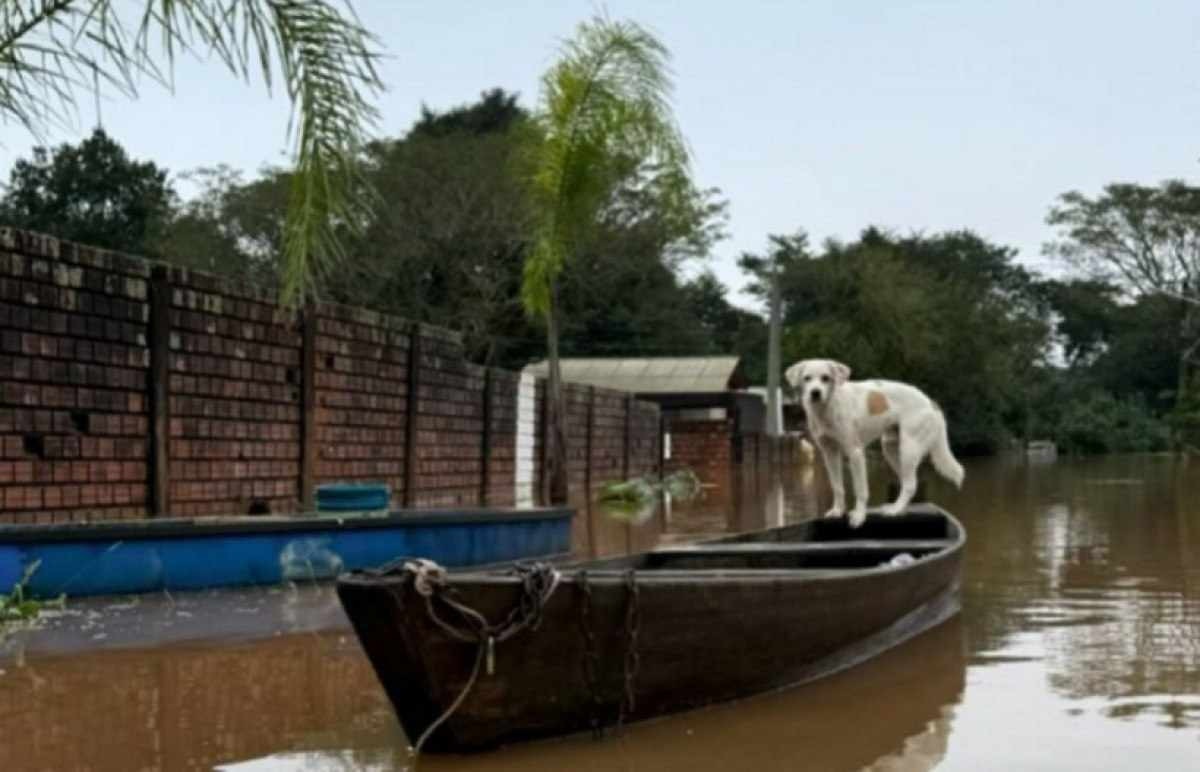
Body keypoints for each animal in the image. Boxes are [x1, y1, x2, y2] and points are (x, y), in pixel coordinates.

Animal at [787, 360, 964, 528]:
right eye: (807, 378)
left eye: (826, 378)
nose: (815, 393)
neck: (828, 408)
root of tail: (931, 402)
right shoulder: (829, 454)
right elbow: (837, 487)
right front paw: (837, 511)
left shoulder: (855, 453)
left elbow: (860, 490)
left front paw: (859, 516)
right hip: (891, 449)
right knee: (908, 483)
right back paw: (898, 508)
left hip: (909, 449)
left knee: (910, 484)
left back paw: (895, 510)